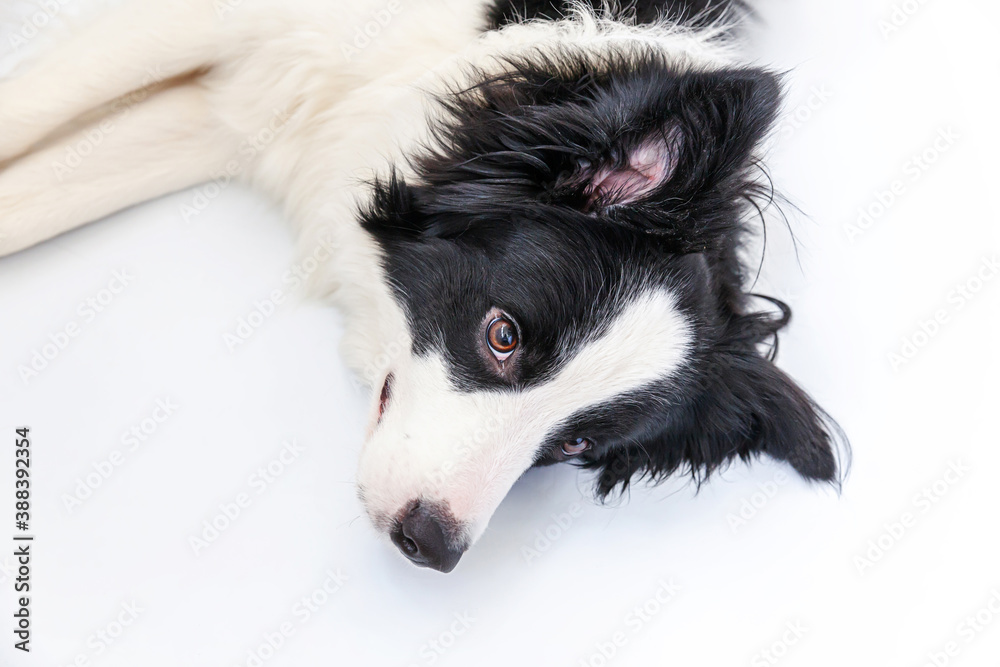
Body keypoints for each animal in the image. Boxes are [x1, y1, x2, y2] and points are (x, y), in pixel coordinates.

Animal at [0, 0, 844, 576]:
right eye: (502, 335)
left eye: (575, 445)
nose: (430, 545)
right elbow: (29, 112)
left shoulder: (243, 113)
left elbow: (32, 197)